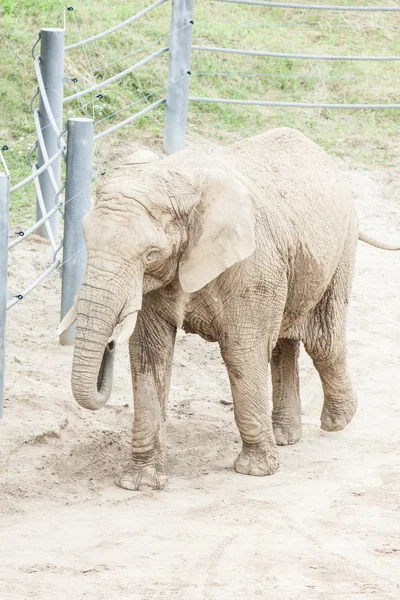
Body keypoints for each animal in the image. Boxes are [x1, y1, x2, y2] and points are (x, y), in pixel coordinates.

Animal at [57, 129, 398, 490]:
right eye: (85, 240)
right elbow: (150, 353)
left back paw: (337, 422)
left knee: (323, 342)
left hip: (341, 245)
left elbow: (241, 351)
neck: (178, 179)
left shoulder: (251, 264)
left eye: (150, 254)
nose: (109, 343)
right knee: (283, 341)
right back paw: (284, 436)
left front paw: (255, 471)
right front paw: (140, 483)